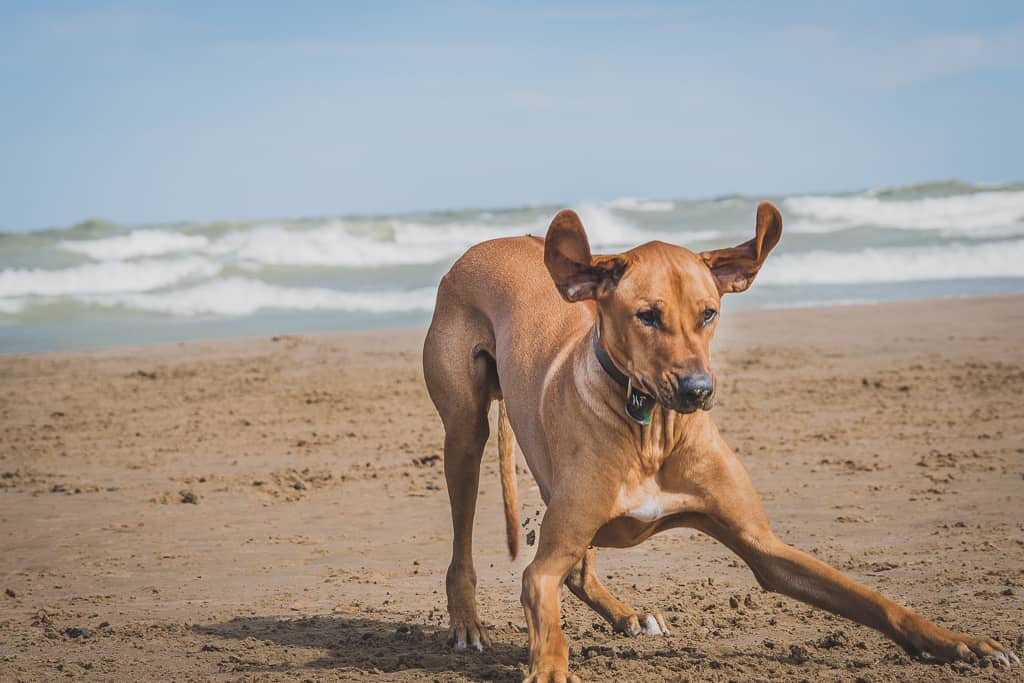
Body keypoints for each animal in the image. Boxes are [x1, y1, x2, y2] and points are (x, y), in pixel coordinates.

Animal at [419, 200, 1019, 679]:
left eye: (709, 313)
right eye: (647, 316)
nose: (698, 390)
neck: (653, 431)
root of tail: (492, 242)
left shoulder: (764, 546)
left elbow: (872, 598)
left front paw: (960, 643)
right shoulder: (539, 570)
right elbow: (544, 609)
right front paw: (548, 669)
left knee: (580, 567)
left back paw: (627, 614)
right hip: (465, 435)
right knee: (466, 543)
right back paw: (468, 623)